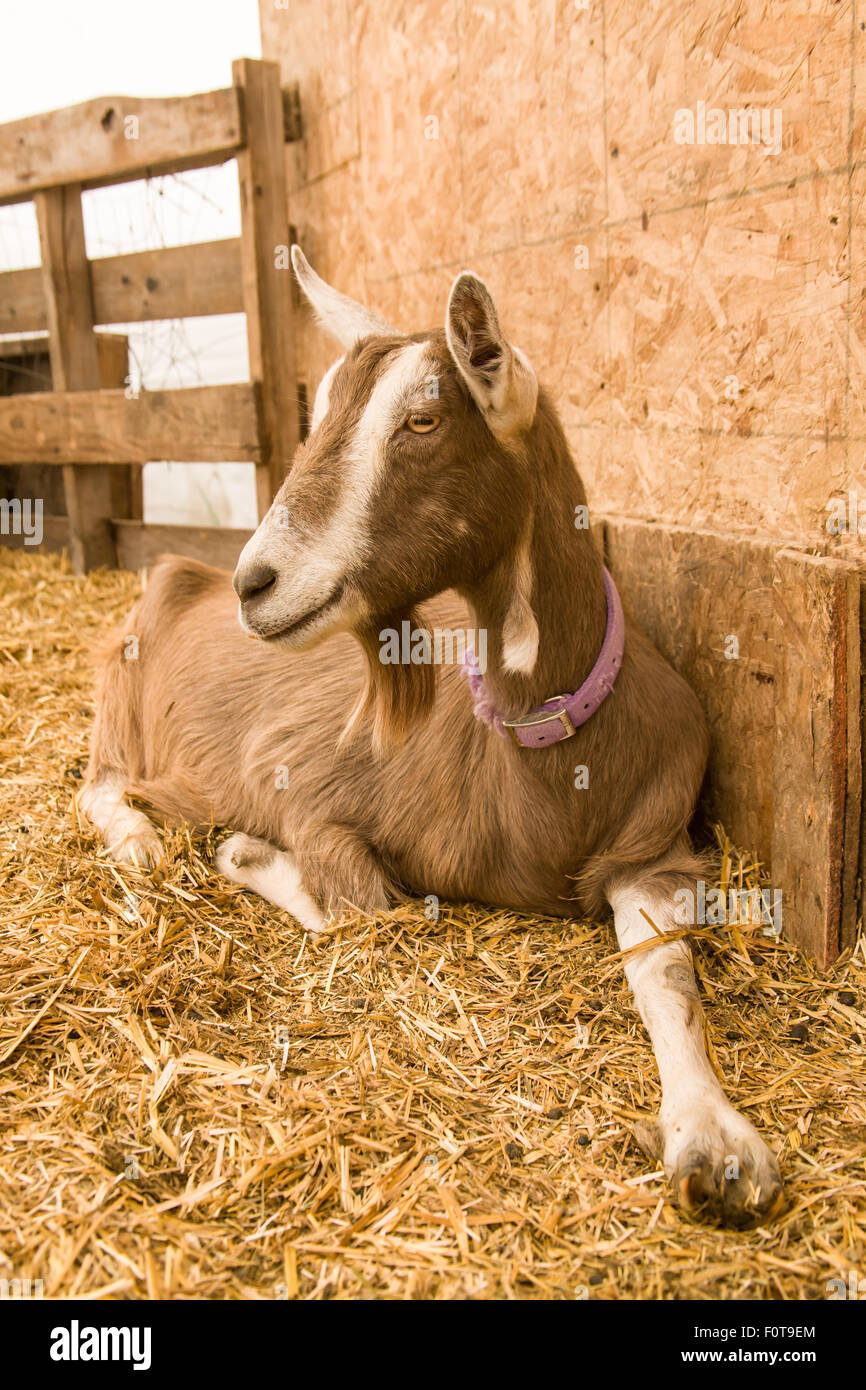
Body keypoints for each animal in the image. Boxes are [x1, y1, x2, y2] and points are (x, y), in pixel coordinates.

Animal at [81, 250, 783, 1228]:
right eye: (318, 415)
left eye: (422, 420)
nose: (256, 583)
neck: (541, 754)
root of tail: (186, 571)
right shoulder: (306, 785)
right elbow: (370, 903)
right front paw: (246, 854)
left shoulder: (658, 847)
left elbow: (667, 972)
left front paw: (714, 1143)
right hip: (119, 689)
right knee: (101, 785)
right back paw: (145, 844)